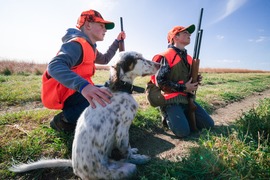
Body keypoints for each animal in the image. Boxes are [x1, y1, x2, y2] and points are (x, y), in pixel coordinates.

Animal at [10, 51, 160, 179]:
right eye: (138, 58)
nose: (159, 65)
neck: (119, 88)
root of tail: (75, 168)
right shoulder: (123, 129)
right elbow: (126, 149)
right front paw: (139, 157)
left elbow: (128, 147)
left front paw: (134, 151)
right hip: (127, 169)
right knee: (128, 163)